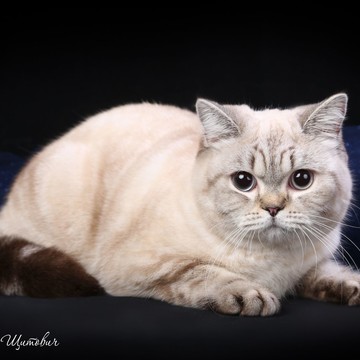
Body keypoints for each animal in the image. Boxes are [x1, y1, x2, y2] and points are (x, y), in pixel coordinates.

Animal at [0, 93, 360, 316]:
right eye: (243, 182)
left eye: (301, 180)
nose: (273, 208)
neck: (274, 265)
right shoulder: (139, 265)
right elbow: (202, 271)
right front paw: (252, 296)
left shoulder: (312, 265)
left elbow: (333, 275)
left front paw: (352, 287)